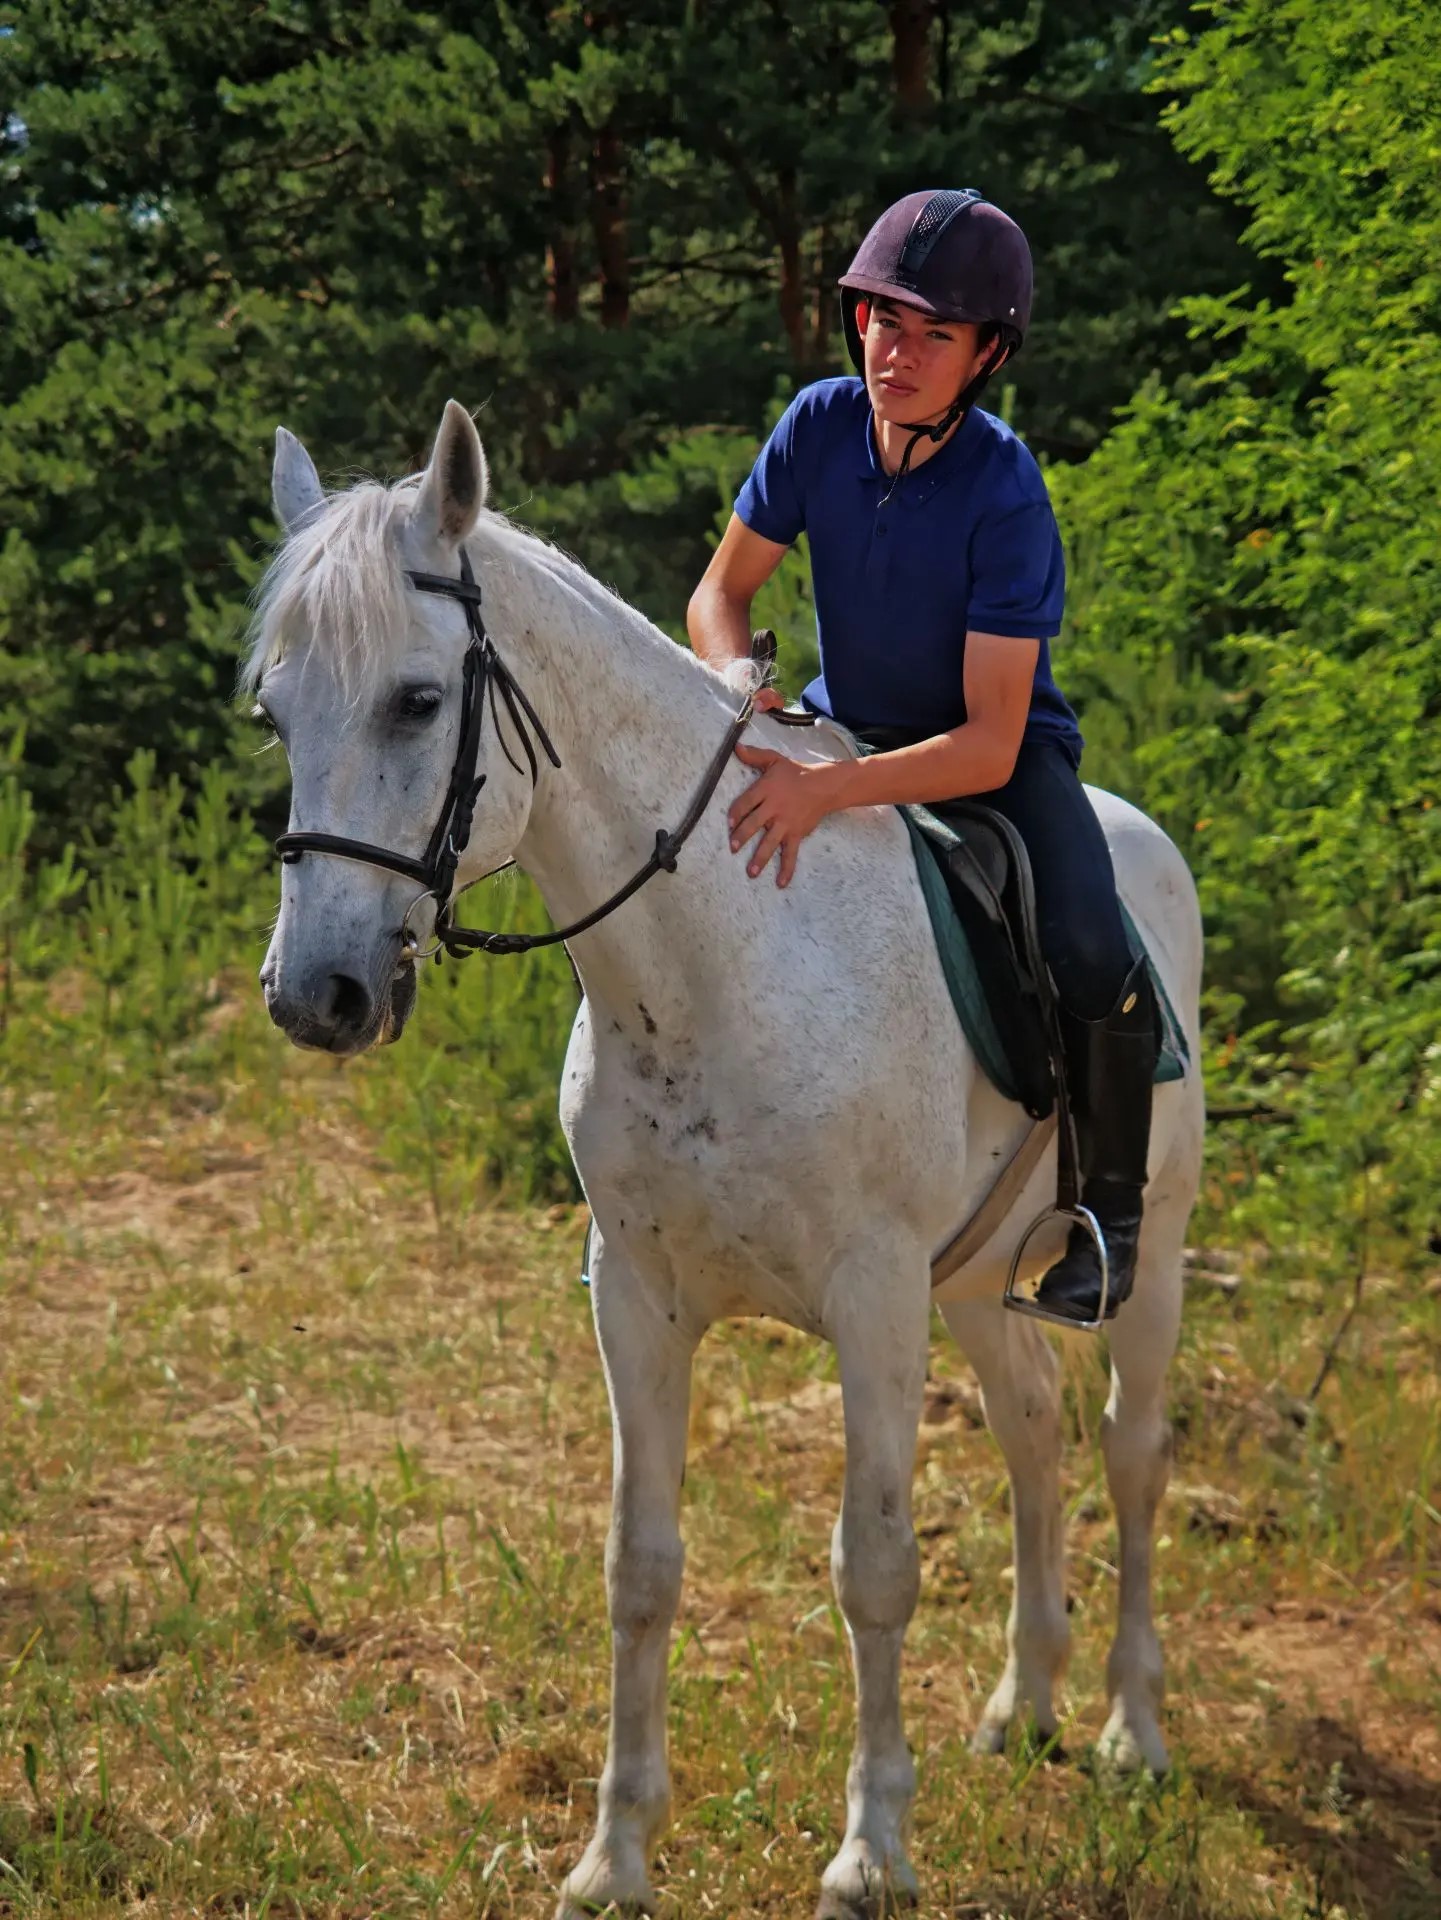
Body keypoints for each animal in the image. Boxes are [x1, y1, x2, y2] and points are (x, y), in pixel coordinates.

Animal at [249, 400, 1204, 1919]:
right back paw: (1024, 1706)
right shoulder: (638, 1297)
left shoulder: (871, 1300)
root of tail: (1141, 834)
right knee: (1033, 1433)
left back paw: (1130, 1729)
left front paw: (871, 1851)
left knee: (1127, 1452)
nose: (315, 994)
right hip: (973, 1284)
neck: (714, 962)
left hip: (1144, 1256)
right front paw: (612, 1857)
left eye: (415, 700)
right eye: (276, 712)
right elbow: (638, 1567)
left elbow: (874, 1568)